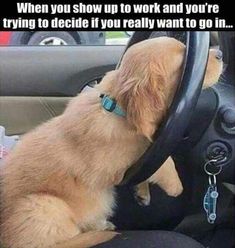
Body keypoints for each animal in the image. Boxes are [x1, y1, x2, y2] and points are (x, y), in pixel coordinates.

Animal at [0, 37, 222, 248]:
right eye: (182, 63)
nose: (220, 54)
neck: (116, 107)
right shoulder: (116, 164)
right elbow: (163, 159)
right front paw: (176, 186)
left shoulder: (141, 161)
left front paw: (142, 191)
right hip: (43, 205)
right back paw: (100, 231)